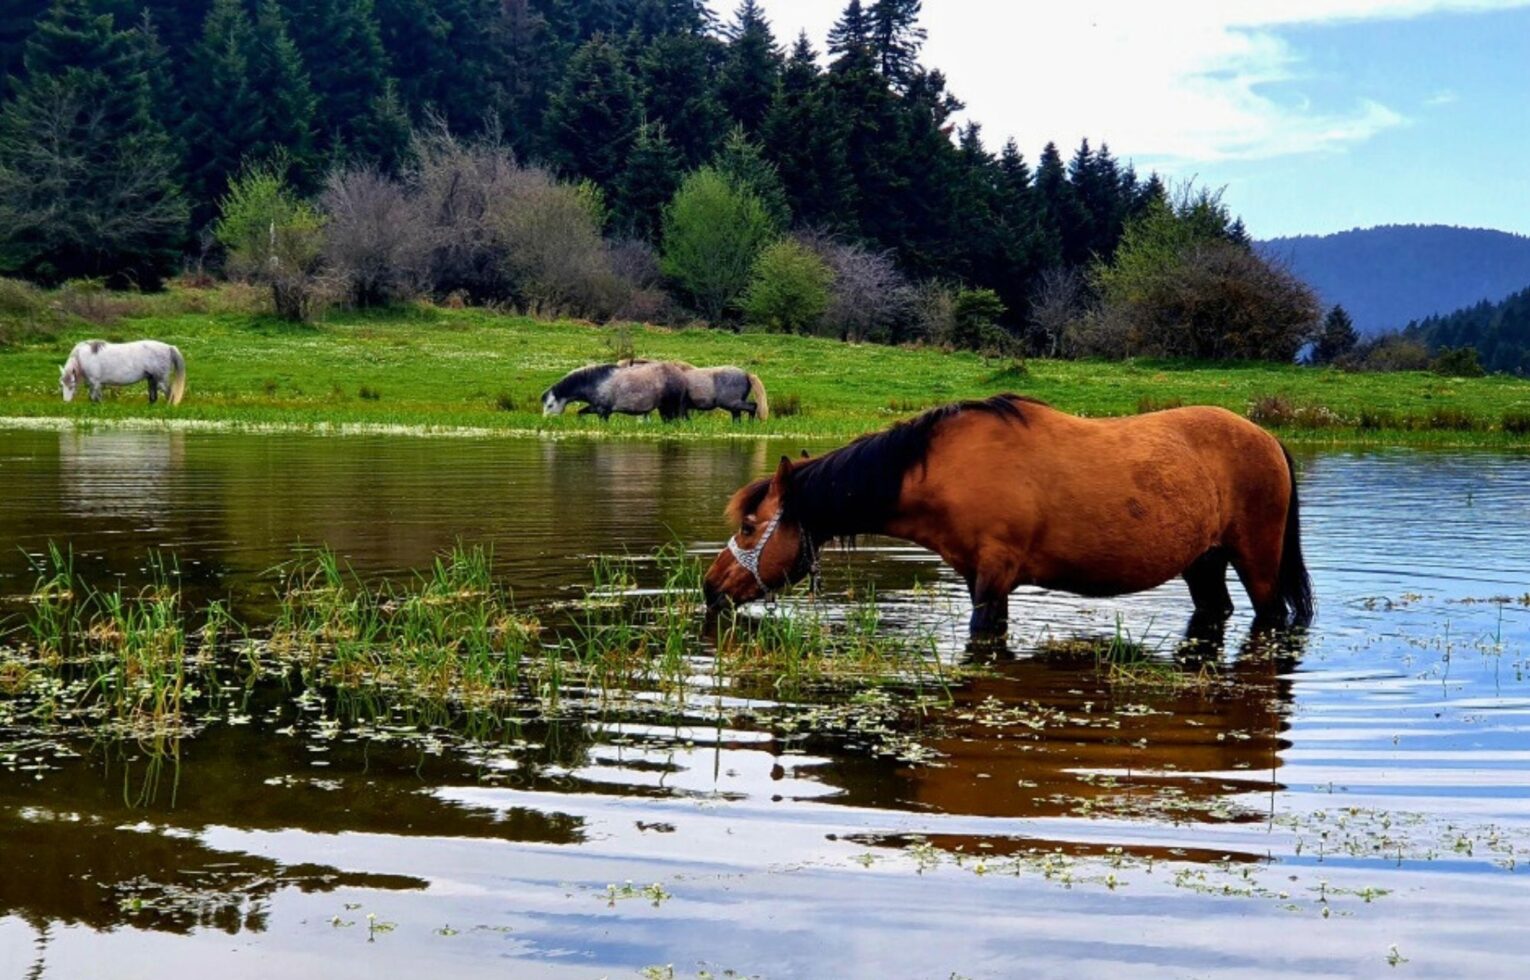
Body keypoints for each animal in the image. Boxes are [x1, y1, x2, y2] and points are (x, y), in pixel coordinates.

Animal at [541, 361, 689, 421]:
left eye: (550, 405)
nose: (545, 420)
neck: (594, 382)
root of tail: (681, 375)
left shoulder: (603, 412)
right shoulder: (595, 408)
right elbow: (580, 413)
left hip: (671, 408)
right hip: (663, 409)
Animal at [703, 394, 1313, 643]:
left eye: (749, 527)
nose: (710, 586)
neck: (945, 468)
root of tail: (1266, 437)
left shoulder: (993, 580)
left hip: (1257, 562)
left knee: (1270, 615)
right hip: (1203, 563)